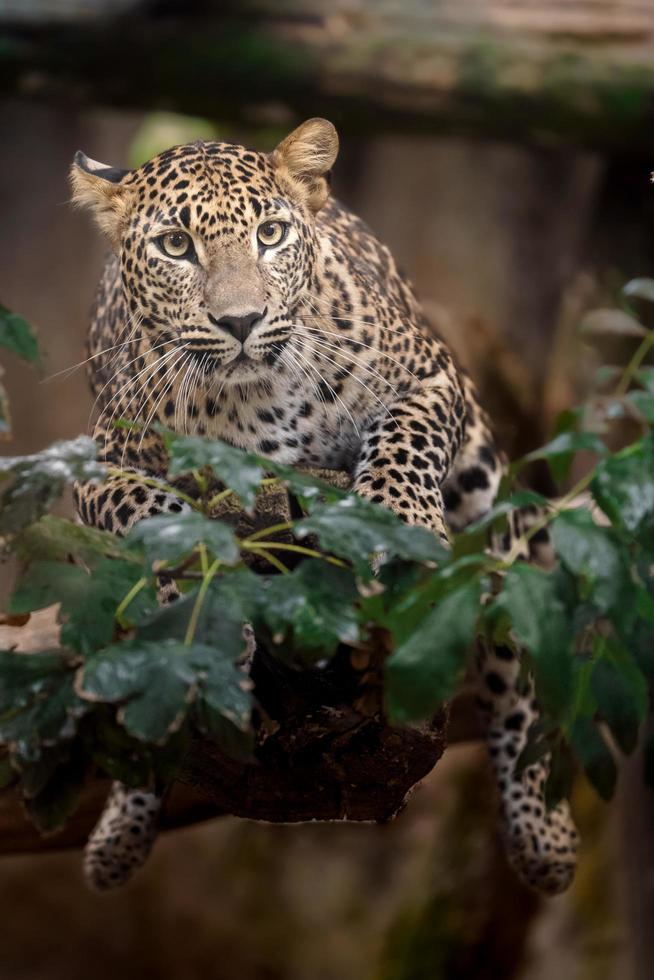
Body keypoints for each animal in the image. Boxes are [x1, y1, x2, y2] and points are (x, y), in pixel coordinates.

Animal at [69, 117, 576, 896]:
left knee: (513, 660)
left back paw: (543, 835)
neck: (251, 399)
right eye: (176, 246)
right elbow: (150, 514)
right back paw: (121, 831)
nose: (242, 320)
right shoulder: (96, 469)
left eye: (271, 234)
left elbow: (404, 439)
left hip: (488, 491)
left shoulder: (432, 376)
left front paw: (395, 526)